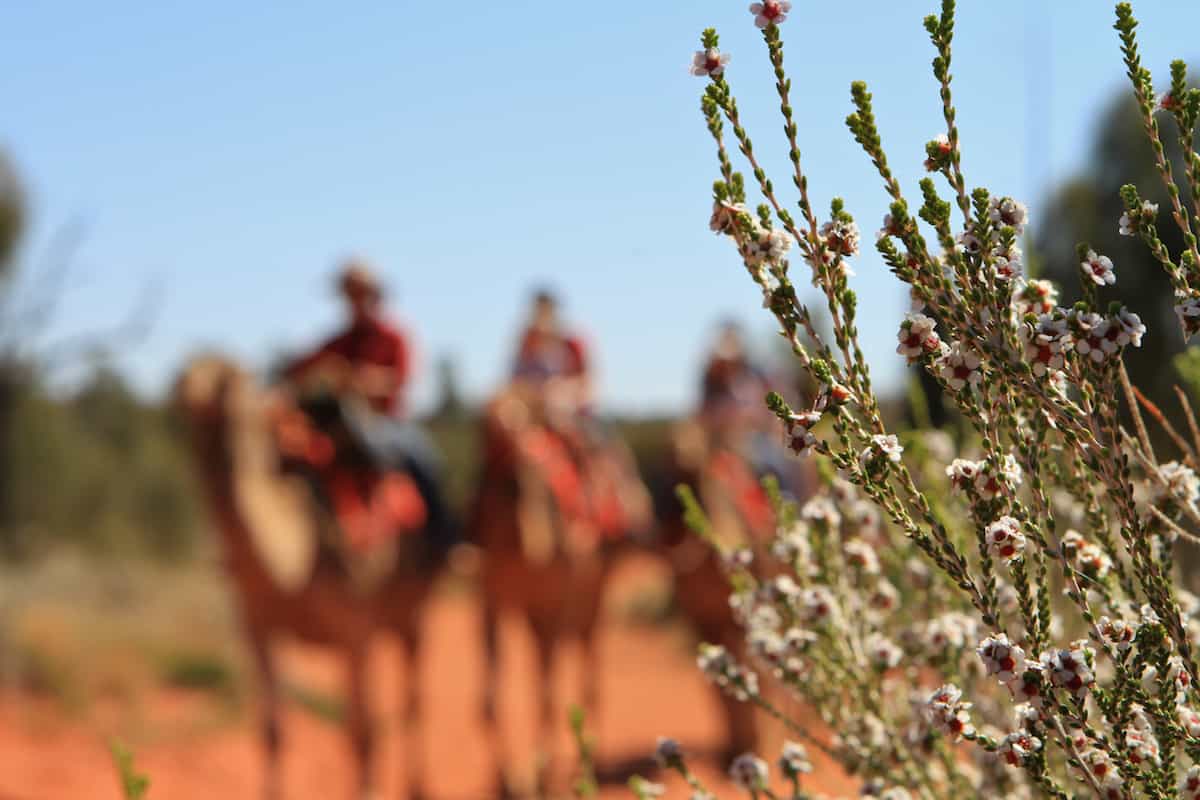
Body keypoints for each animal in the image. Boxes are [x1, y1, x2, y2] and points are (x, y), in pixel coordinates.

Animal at [175, 355, 439, 800]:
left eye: (218, 376)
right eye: (185, 373)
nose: (183, 389)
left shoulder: (355, 629)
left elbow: (361, 733)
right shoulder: (259, 627)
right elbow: (272, 730)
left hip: (413, 615)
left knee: (411, 701)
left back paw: (418, 786)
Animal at [470, 386, 657, 796]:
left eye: (536, 456)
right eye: (489, 448)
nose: (539, 537)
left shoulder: (556, 600)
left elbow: (547, 694)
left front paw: (539, 778)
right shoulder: (491, 599)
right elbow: (489, 696)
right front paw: (506, 779)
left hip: (592, 593)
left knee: (587, 671)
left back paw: (590, 764)